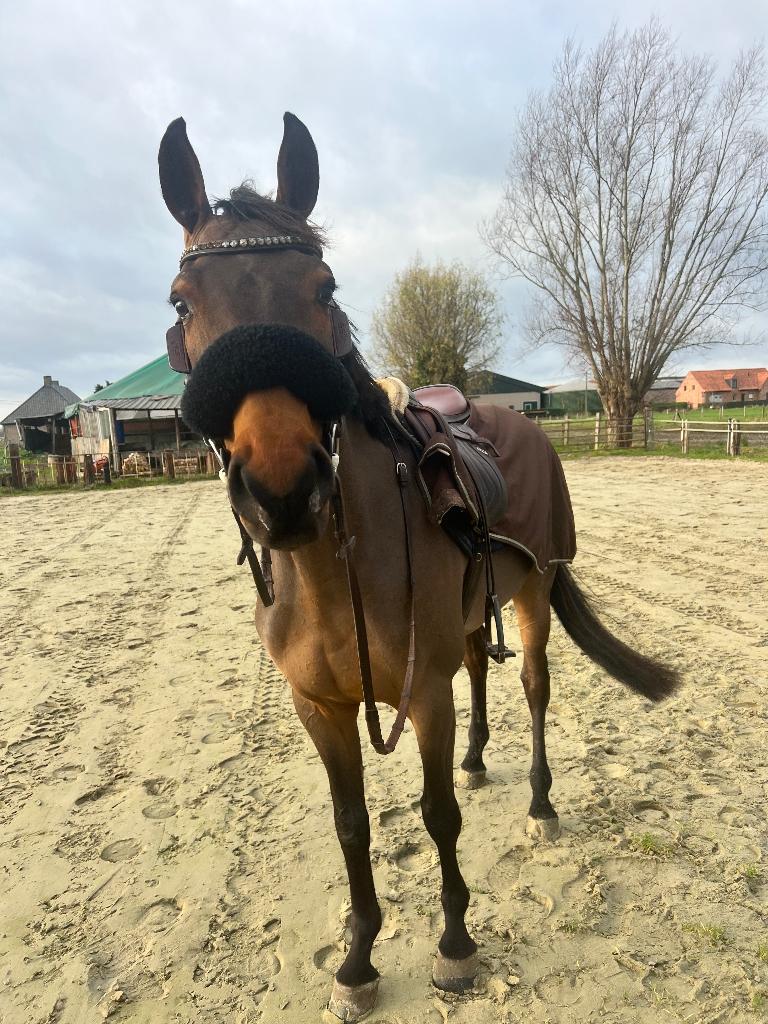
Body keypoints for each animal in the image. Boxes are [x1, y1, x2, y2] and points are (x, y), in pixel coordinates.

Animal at [158, 112, 679, 1021]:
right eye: (183, 302)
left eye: (324, 288)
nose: (283, 487)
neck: (334, 576)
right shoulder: (319, 708)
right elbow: (352, 823)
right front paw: (358, 958)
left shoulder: (422, 692)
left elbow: (437, 815)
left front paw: (455, 943)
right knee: (478, 669)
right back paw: (476, 759)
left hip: (536, 590)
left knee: (532, 688)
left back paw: (539, 802)